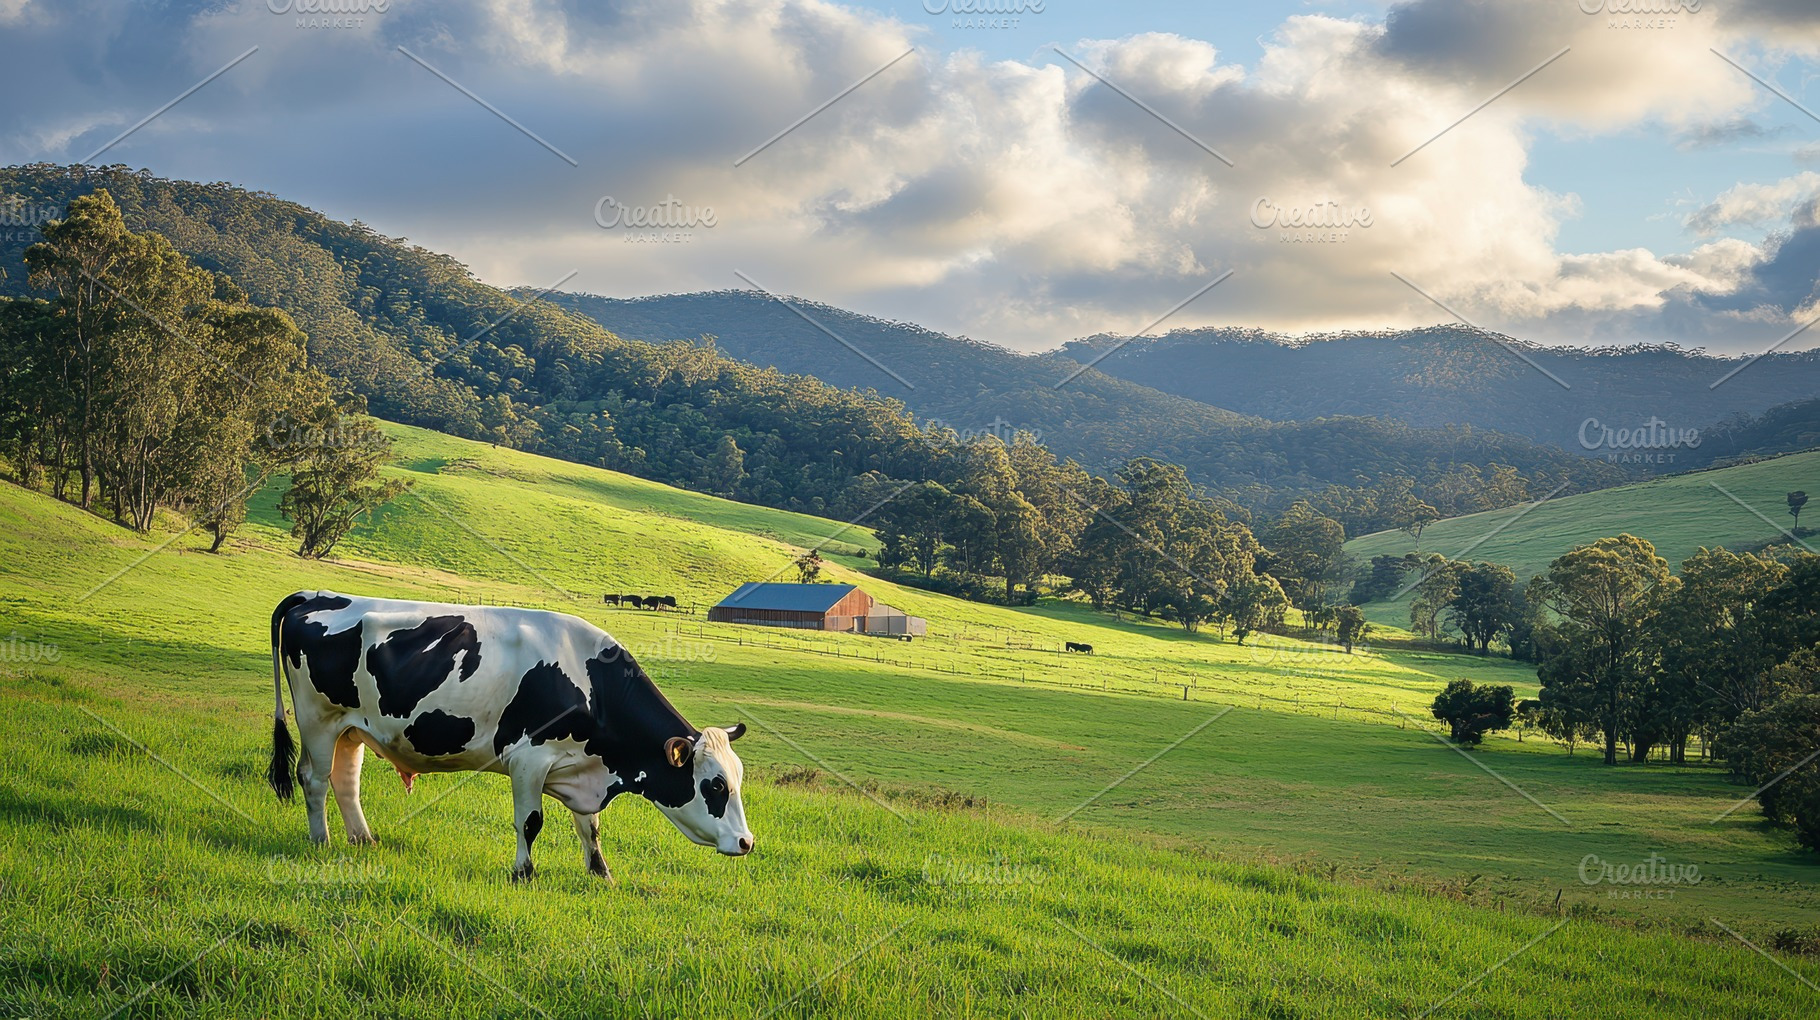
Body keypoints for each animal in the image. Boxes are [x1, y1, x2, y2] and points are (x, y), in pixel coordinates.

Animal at [266, 591, 753, 882]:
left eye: (737, 780)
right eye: (715, 785)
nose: (746, 842)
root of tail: (318, 595)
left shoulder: (579, 767)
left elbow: (590, 827)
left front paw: (602, 874)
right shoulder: (528, 759)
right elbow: (530, 822)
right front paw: (524, 873)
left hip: (351, 728)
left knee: (346, 781)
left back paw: (362, 839)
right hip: (318, 719)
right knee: (314, 780)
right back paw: (322, 841)